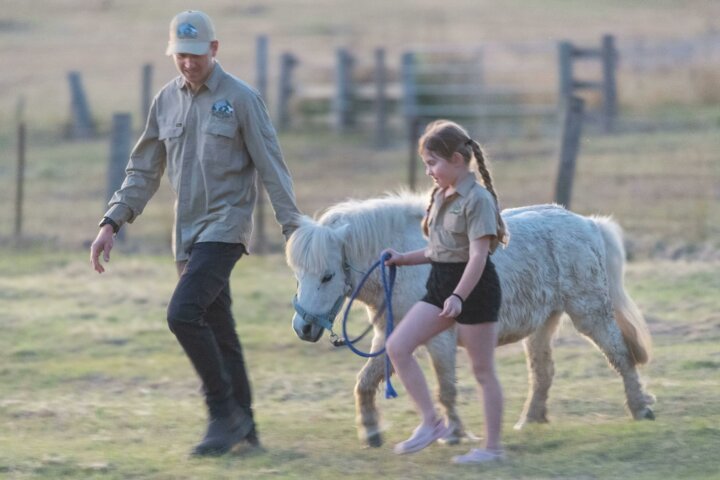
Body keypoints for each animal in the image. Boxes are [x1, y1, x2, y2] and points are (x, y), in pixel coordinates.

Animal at [284, 191, 656, 446]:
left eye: (328, 276)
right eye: (298, 274)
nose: (304, 328)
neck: (407, 272)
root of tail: (589, 224)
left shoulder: (439, 339)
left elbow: (446, 388)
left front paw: (455, 434)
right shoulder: (392, 339)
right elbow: (364, 381)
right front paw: (372, 431)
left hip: (589, 312)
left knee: (620, 355)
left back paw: (641, 408)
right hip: (543, 324)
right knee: (543, 373)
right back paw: (530, 421)